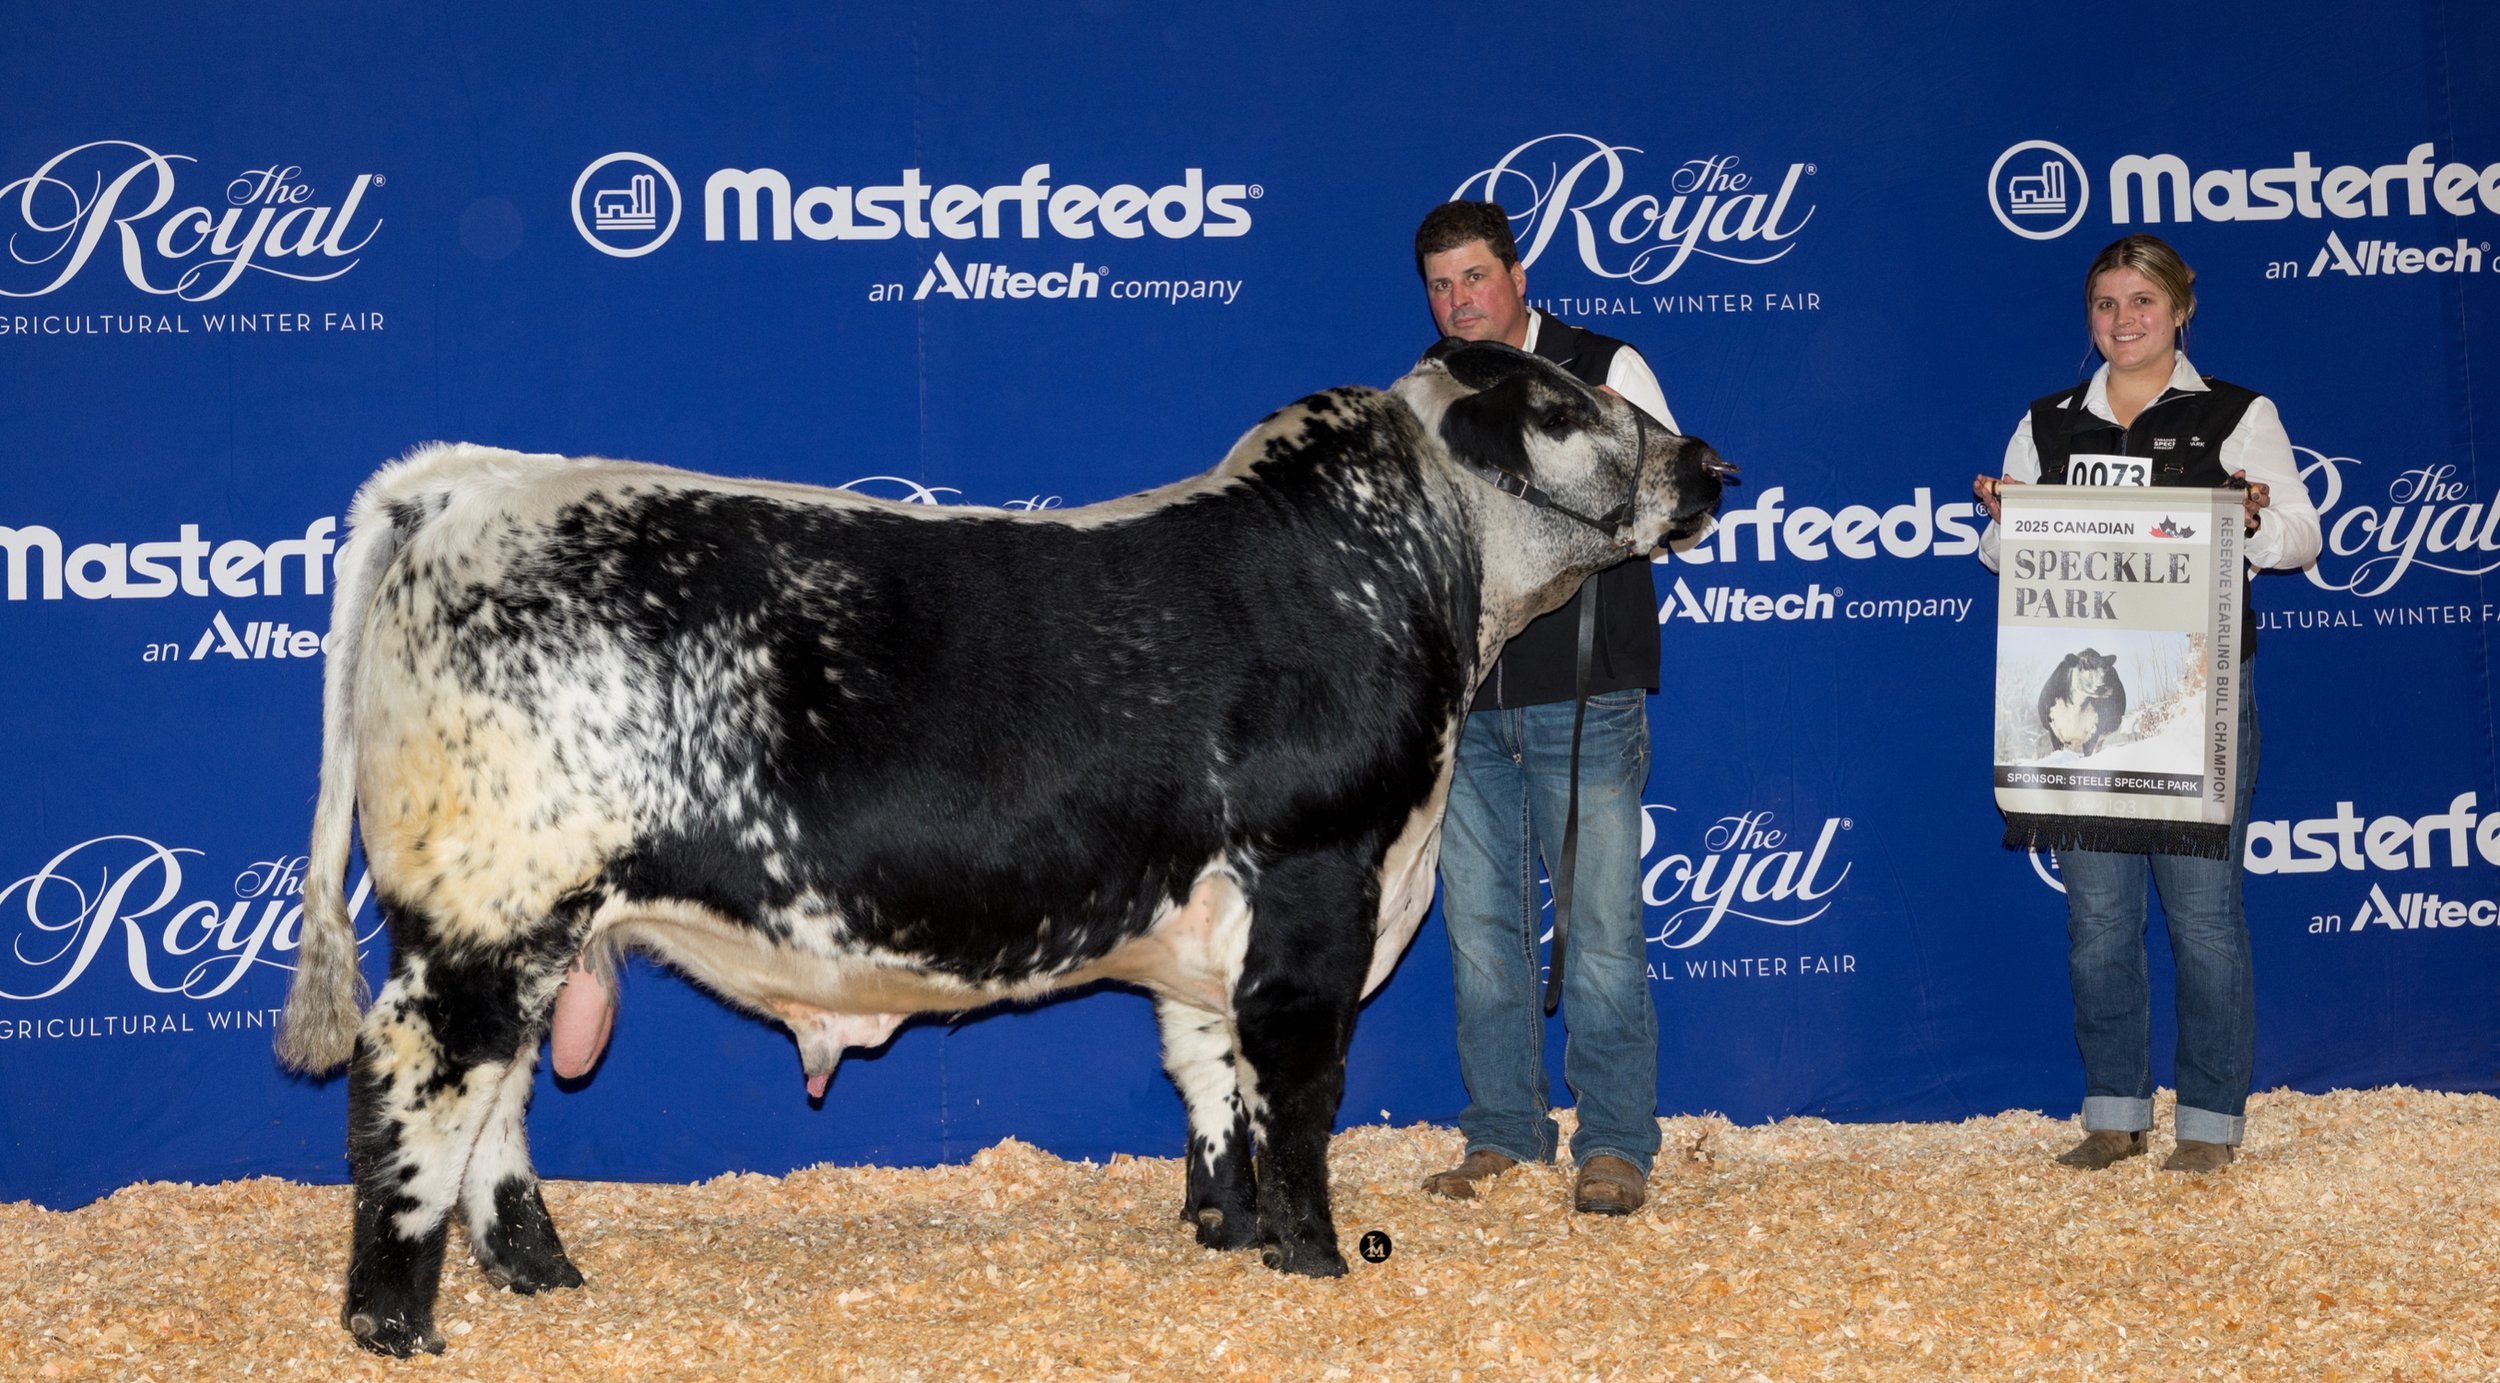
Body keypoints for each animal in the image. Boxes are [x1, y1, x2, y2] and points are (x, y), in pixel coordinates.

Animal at [277, 341, 1728, 1356]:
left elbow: (1211, 1077)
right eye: (1565, 403)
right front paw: (1312, 1257)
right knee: (417, 1085)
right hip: (492, 907)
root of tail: (464, 481)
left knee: (500, 1102)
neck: (1409, 575)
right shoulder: (1319, 877)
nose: (1710, 463)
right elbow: (1299, 1083)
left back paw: (542, 1275)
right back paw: (395, 1323)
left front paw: (1225, 1229)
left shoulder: (1211, 925)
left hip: (538, 921)